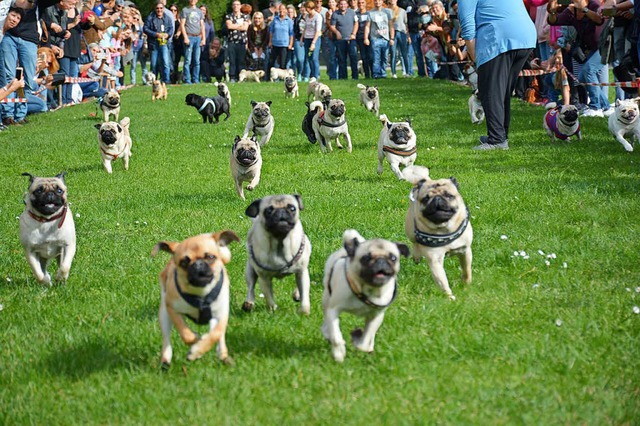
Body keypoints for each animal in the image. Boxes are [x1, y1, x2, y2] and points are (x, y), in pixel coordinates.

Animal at [151, 230, 241, 366]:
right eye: (184, 262)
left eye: (211, 257)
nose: (198, 264)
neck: (201, 294)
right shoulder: (172, 308)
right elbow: (185, 333)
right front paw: (195, 343)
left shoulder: (221, 314)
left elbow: (216, 334)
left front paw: (198, 350)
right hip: (164, 314)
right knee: (166, 340)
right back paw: (165, 361)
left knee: (219, 336)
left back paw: (223, 356)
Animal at [402, 165, 472, 302]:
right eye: (426, 199)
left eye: (449, 195)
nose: (437, 198)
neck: (444, 228)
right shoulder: (435, 260)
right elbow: (442, 281)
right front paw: (449, 297)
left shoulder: (465, 250)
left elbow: (467, 269)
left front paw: (466, 284)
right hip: (410, 230)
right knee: (414, 242)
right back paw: (417, 256)